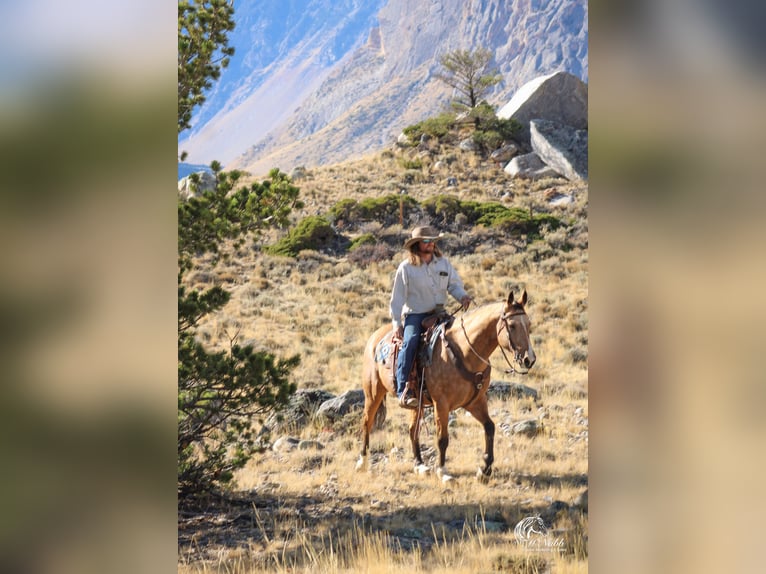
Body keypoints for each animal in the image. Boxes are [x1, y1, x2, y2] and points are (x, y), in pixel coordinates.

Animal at [356, 290, 536, 484]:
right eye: (512, 325)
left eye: (529, 324)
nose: (529, 359)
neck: (463, 352)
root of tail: (375, 337)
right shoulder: (441, 403)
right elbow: (442, 438)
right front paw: (443, 472)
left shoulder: (475, 401)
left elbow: (490, 427)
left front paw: (485, 469)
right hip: (373, 393)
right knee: (367, 422)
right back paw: (362, 462)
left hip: (416, 403)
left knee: (412, 430)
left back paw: (419, 465)